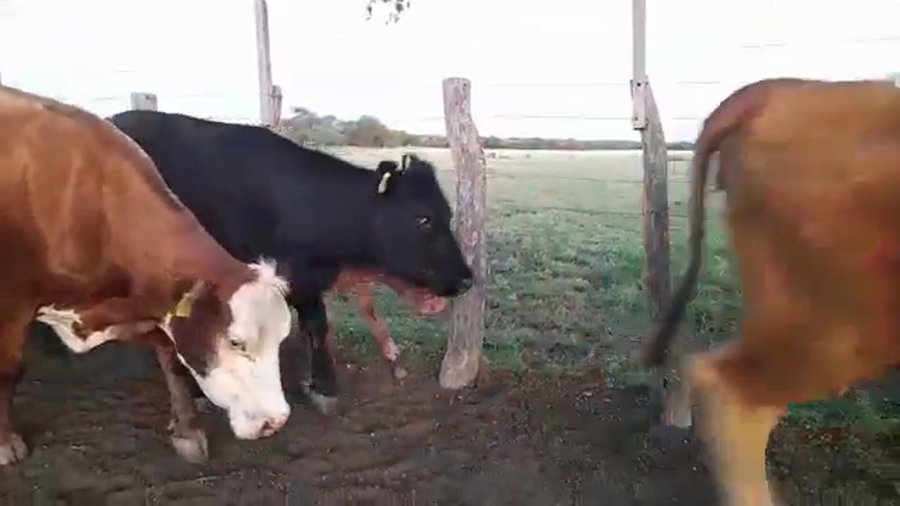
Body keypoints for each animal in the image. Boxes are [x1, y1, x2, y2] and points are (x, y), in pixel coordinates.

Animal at [0, 85, 294, 466]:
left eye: (282, 338)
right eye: (235, 342)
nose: (276, 421)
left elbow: (173, 359)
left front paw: (187, 430)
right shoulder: (12, 303)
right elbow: (9, 370)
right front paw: (5, 441)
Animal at [106, 110, 474, 415]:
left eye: (447, 214)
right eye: (422, 218)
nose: (467, 278)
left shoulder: (305, 280)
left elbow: (316, 325)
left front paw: (322, 386)